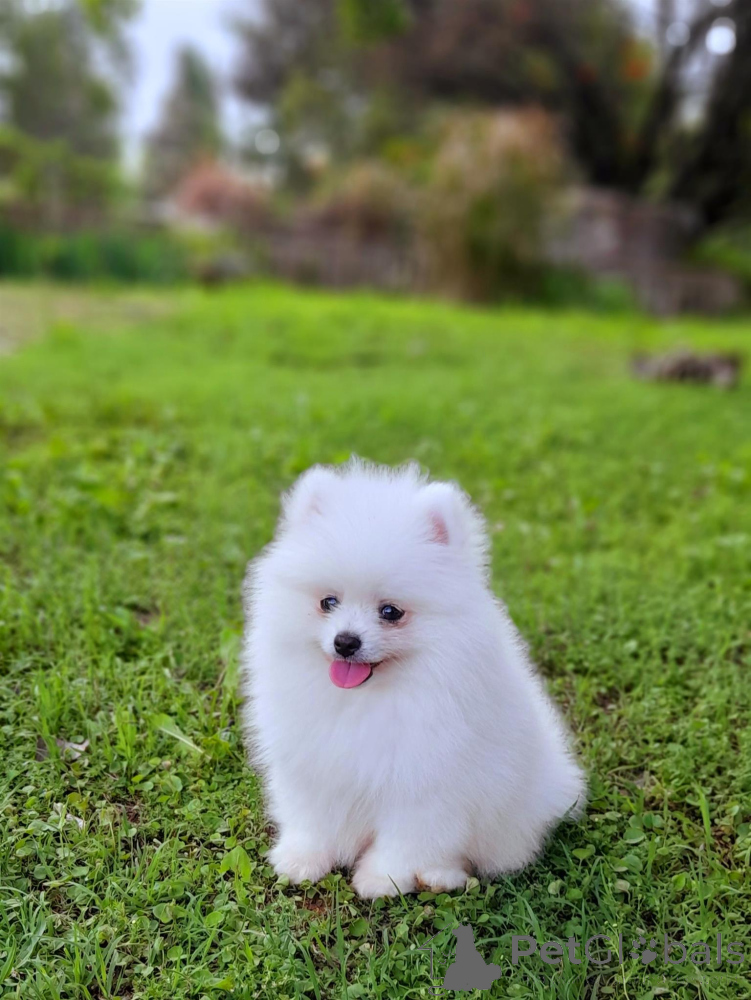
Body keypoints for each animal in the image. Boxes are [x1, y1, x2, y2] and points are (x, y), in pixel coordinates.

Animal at [241, 460, 585, 898]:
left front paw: (381, 879)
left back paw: (440, 876)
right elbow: (313, 819)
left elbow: (407, 840)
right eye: (328, 602)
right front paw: (303, 859)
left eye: (390, 612)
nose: (345, 642)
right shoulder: (314, 765)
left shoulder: (425, 785)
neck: (366, 700)